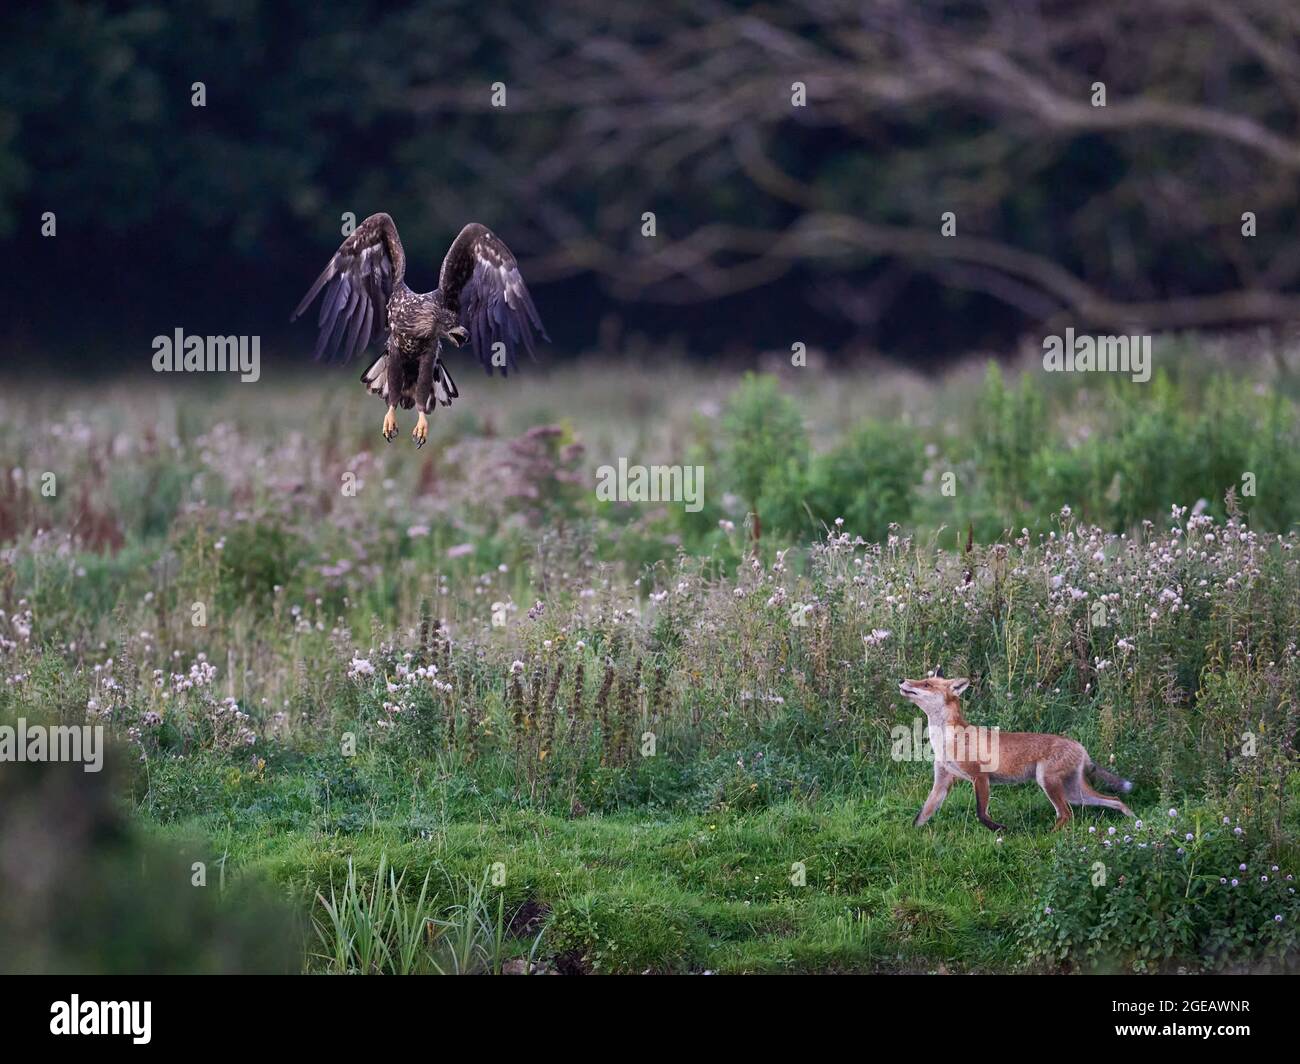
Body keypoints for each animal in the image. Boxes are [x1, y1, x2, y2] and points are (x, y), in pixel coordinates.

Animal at [898, 672, 1134, 832]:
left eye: (926, 684)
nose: (901, 680)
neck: (947, 739)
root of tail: (1080, 746)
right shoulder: (942, 781)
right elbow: (921, 816)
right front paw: (911, 834)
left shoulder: (980, 777)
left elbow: (981, 814)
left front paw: (1001, 830)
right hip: (1074, 793)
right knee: (1113, 799)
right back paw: (1134, 819)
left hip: (1048, 782)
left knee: (1066, 814)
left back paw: (1049, 835)